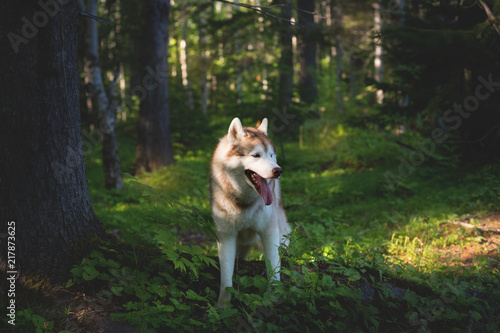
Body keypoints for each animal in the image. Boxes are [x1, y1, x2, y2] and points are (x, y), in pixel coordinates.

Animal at [210, 116, 290, 306]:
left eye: (271, 155)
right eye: (256, 155)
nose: (278, 170)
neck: (244, 202)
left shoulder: (269, 231)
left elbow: (273, 267)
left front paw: (273, 296)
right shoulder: (226, 236)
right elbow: (226, 277)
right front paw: (223, 304)